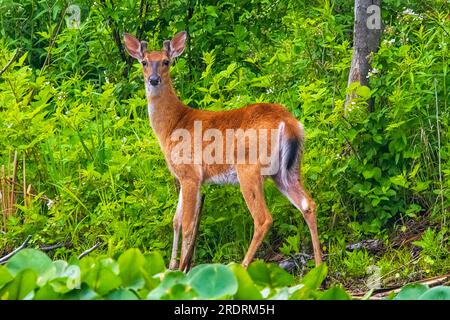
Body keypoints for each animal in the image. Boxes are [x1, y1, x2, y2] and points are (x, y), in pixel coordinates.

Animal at [121, 30, 322, 272]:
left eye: (166, 62)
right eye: (144, 62)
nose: (153, 79)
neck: (172, 125)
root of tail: (289, 123)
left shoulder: (190, 173)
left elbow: (188, 225)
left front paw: (182, 270)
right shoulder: (187, 177)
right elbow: (176, 221)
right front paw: (171, 267)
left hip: (249, 167)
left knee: (263, 218)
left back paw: (242, 266)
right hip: (288, 169)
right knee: (308, 205)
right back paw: (319, 268)